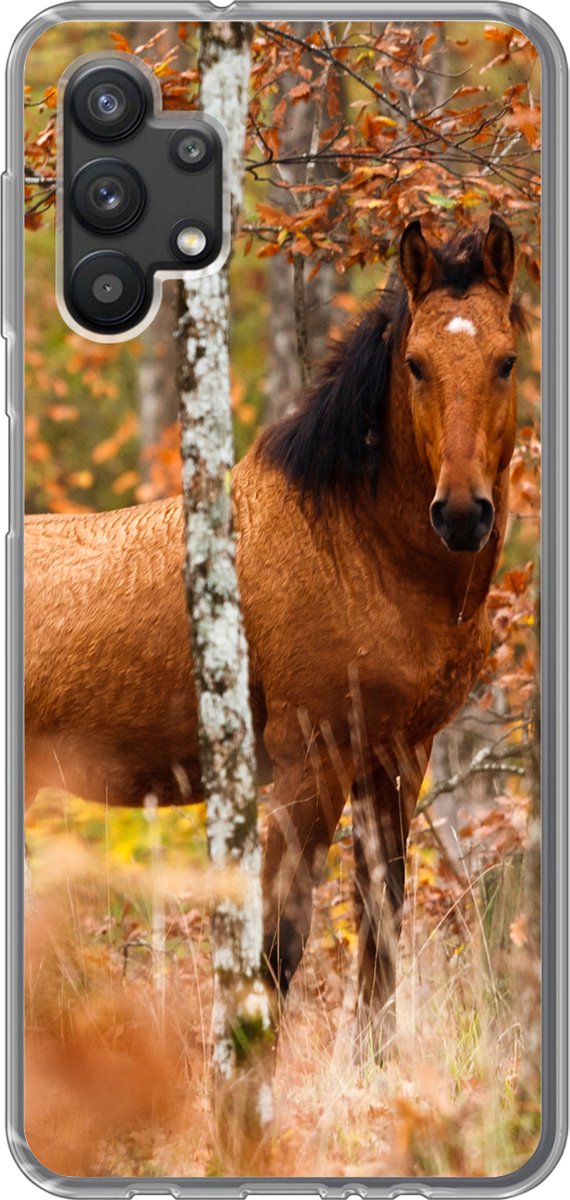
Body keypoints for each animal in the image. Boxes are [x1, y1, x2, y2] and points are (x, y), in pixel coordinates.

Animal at [24, 215, 523, 1041]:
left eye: (506, 360)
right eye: (415, 364)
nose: (461, 514)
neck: (359, 550)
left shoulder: (397, 759)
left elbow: (380, 939)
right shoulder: (306, 765)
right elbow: (275, 951)